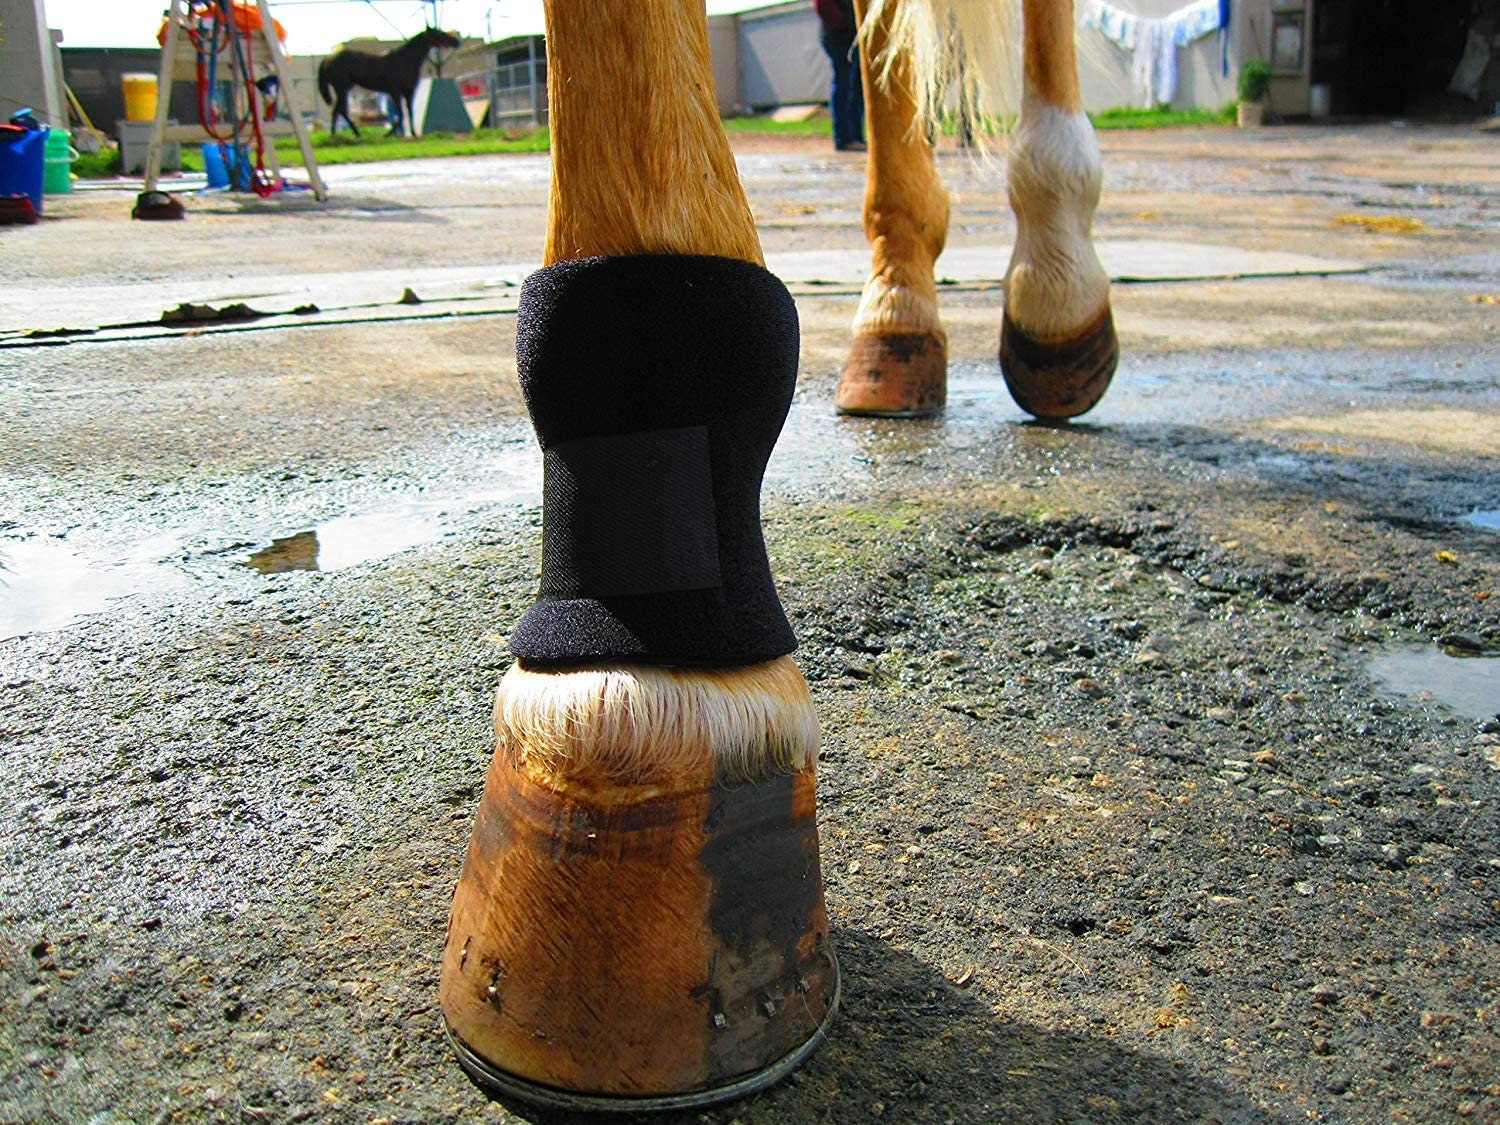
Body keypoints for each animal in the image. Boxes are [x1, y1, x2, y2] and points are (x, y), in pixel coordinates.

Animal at [317, 27, 461, 137]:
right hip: (342, 88)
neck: (405, 60)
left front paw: (413, 134)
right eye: (439, 33)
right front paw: (387, 134)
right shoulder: (395, 92)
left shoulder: (409, 92)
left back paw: (340, 135)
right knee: (339, 111)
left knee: (338, 111)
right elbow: (401, 115)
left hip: (344, 89)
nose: (456, 41)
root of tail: (328, 59)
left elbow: (409, 112)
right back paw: (348, 134)